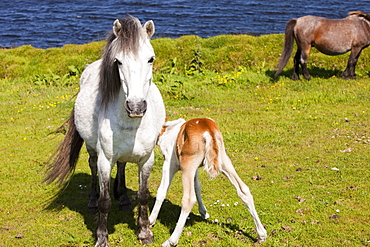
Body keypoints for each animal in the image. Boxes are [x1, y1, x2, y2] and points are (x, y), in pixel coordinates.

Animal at [149, 118, 268, 246]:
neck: (165, 130)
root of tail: (208, 130)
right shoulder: (195, 168)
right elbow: (197, 185)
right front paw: (204, 212)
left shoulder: (169, 163)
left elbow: (162, 191)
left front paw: (150, 220)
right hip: (223, 160)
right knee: (243, 190)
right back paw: (262, 235)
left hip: (187, 163)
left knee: (188, 199)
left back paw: (171, 241)